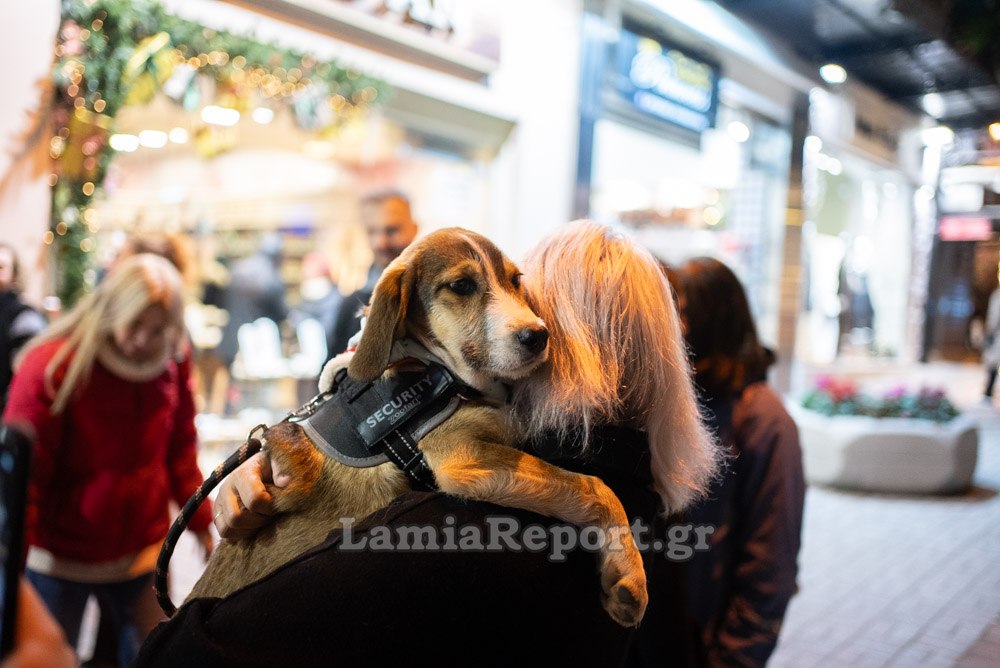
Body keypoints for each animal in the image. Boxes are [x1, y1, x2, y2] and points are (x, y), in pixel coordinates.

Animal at [189, 228, 648, 628]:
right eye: (462, 285)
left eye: (515, 281)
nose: (538, 335)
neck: (438, 369)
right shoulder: (463, 456)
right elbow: (593, 486)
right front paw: (629, 574)